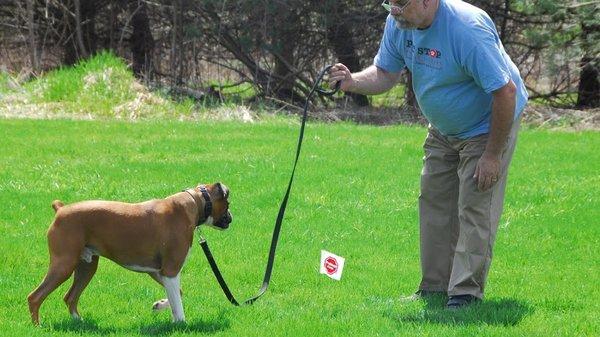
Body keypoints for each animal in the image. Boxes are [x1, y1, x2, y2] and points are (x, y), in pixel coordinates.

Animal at [27, 182, 232, 324]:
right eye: (228, 203)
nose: (231, 217)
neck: (194, 202)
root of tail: (61, 209)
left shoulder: (158, 271)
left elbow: (177, 296)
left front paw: (160, 306)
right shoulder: (171, 270)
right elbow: (178, 302)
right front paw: (181, 323)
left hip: (86, 267)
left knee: (70, 297)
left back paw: (79, 322)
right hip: (64, 265)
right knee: (35, 297)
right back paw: (38, 326)